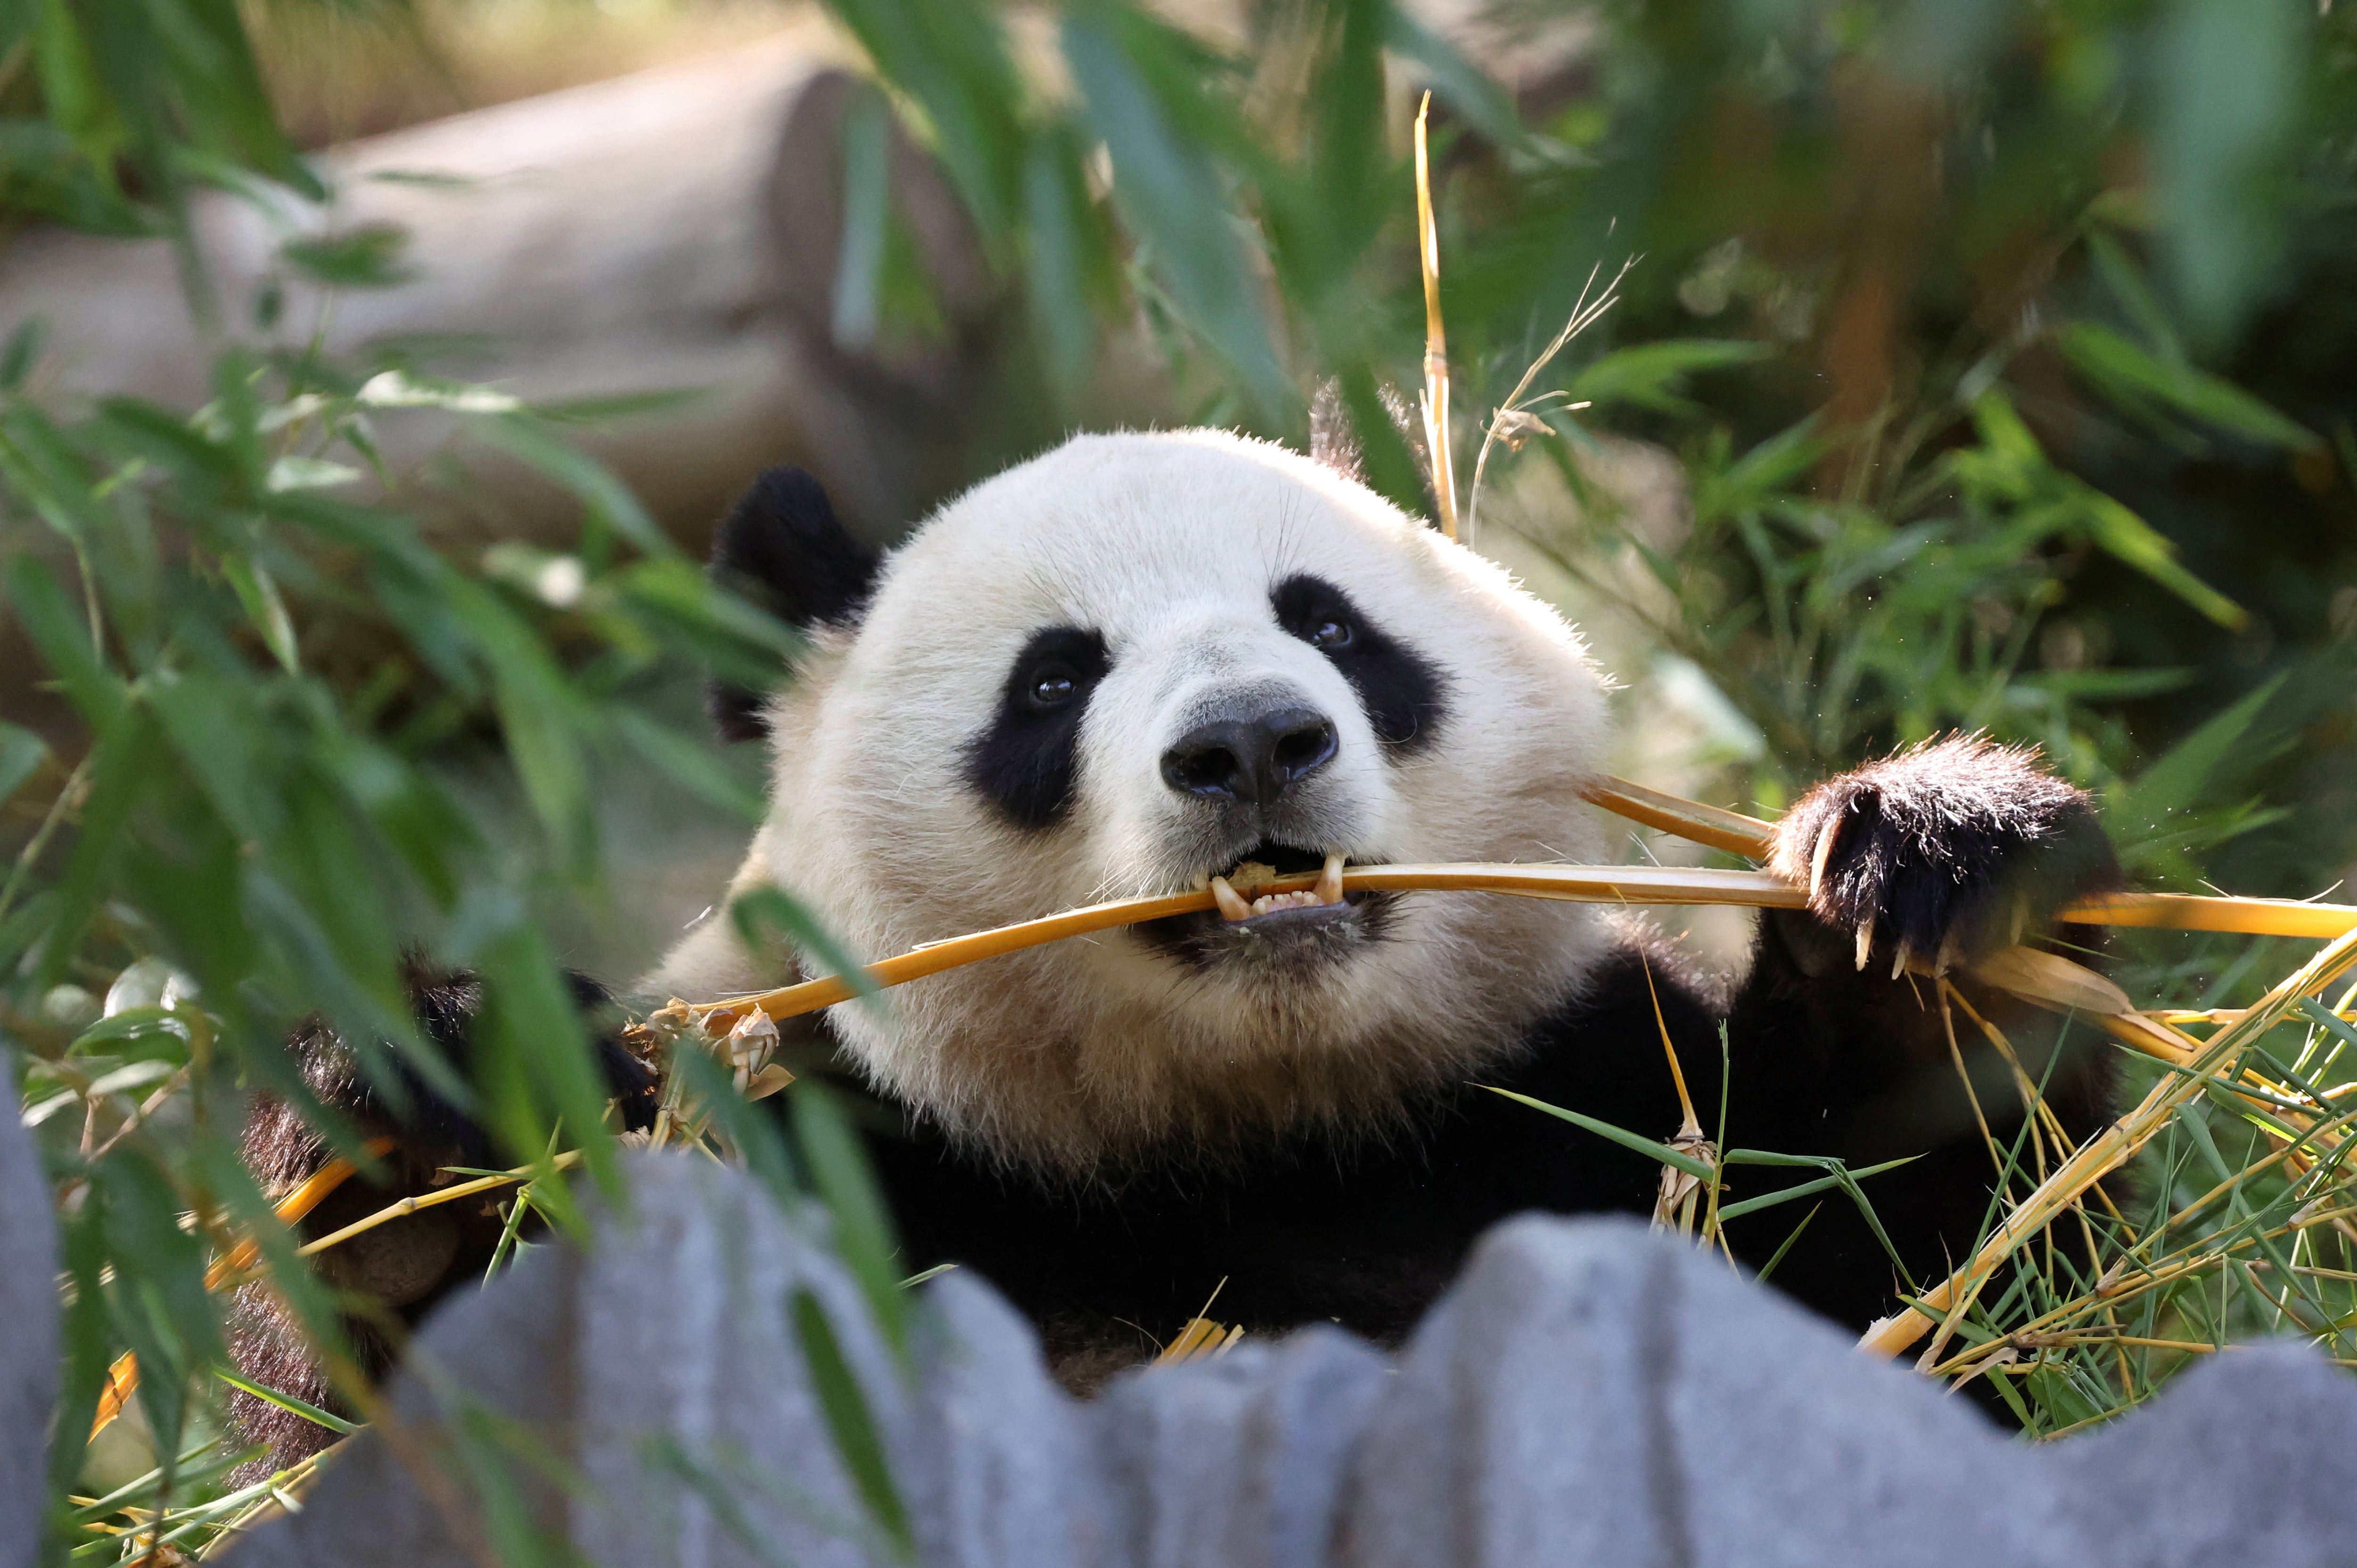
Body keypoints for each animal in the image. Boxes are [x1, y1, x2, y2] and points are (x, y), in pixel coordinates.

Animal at [234, 420, 2121, 1471]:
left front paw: (1937, 871)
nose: (1248, 745)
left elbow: (1947, 1284)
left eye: (1330, 624)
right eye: (1053, 679)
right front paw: (424, 1104)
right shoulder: (833, 1135)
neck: (1246, 1132)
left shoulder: (1580, 1095)